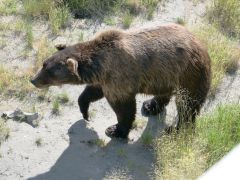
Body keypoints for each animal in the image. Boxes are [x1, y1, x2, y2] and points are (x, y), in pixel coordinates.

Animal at [30, 23, 212, 139]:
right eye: (44, 64)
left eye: (49, 71)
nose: (33, 80)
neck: (99, 65)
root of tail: (203, 47)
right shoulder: (104, 78)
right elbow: (91, 92)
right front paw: (85, 112)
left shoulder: (118, 77)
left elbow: (124, 108)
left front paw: (114, 130)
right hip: (165, 75)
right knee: (166, 93)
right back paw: (150, 105)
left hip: (188, 74)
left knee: (187, 105)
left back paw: (175, 129)